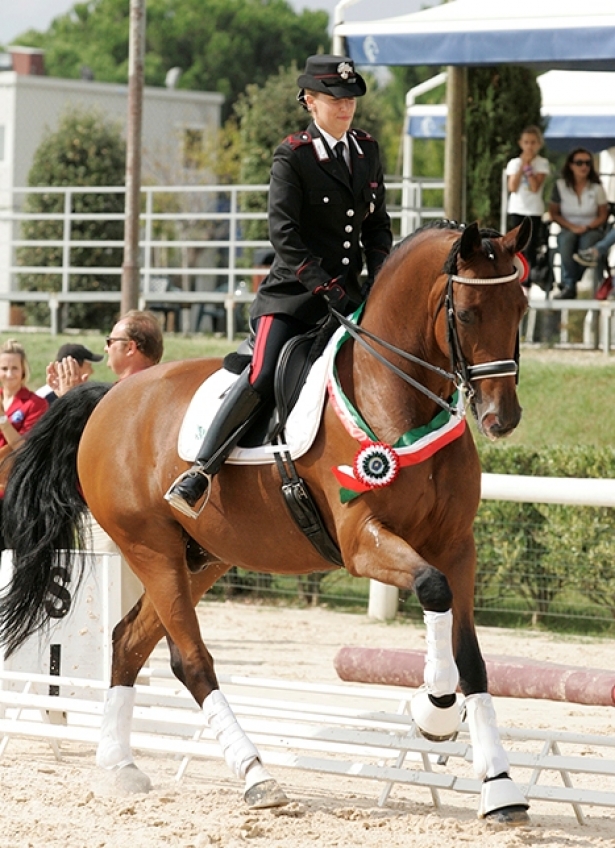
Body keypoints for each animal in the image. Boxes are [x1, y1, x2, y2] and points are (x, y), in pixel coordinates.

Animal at [0, 219, 532, 820]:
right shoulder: (362, 542)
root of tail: (110, 397)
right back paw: (256, 775)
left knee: (128, 642)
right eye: (465, 313)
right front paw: (434, 710)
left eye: (520, 307)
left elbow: (472, 656)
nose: (502, 418)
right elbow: (431, 587)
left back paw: (119, 765)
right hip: (150, 549)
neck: (394, 392)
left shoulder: (457, 545)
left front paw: (500, 786)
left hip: (200, 557)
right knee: (191, 661)